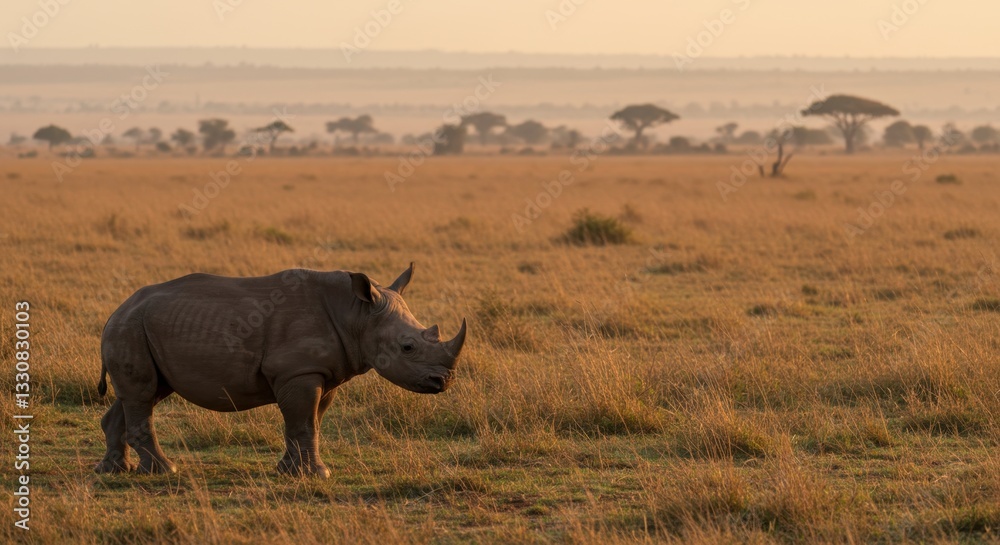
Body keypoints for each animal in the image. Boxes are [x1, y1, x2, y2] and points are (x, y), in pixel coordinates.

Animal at [95, 263, 466, 477]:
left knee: (145, 393)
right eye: (408, 347)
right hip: (130, 328)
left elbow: (308, 422)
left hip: (141, 328)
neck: (357, 314)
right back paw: (163, 471)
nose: (444, 381)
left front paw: (289, 471)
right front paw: (316, 475)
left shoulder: (322, 373)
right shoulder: (298, 371)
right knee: (142, 395)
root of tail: (116, 310)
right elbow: (303, 423)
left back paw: (114, 470)